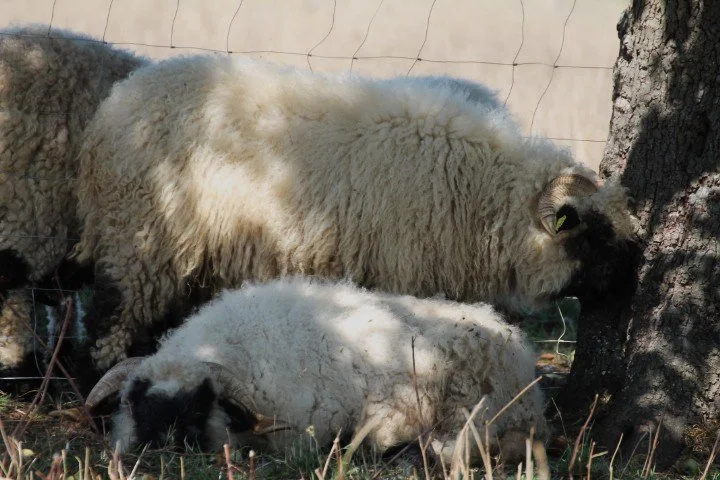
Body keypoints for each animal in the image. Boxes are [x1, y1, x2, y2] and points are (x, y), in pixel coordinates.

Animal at [73, 54, 640, 370]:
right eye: (592, 234)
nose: (631, 279)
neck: (483, 191)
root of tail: (115, 106)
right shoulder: (404, 273)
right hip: (139, 237)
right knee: (110, 316)